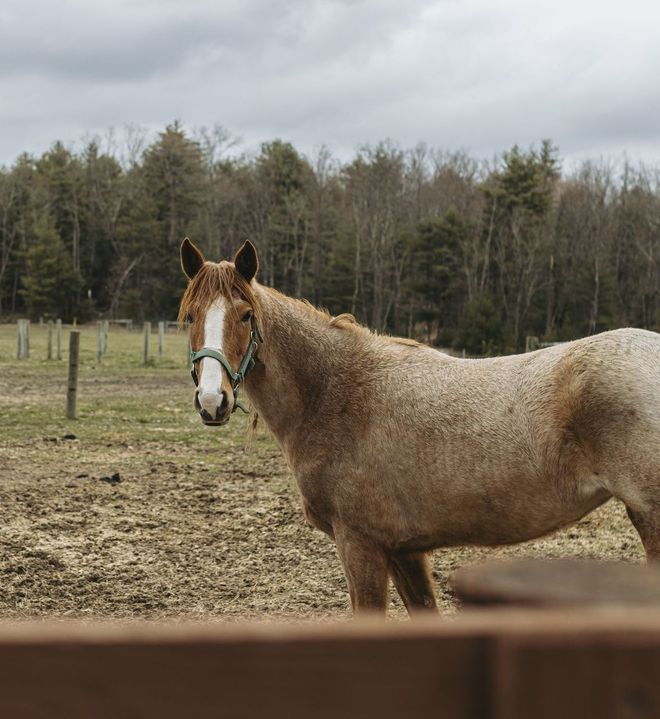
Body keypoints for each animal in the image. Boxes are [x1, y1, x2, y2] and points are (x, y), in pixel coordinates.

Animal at [178, 237, 660, 616]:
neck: (338, 393)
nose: (212, 400)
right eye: (190, 316)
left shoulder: (361, 545)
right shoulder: (404, 551)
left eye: (245, 315)